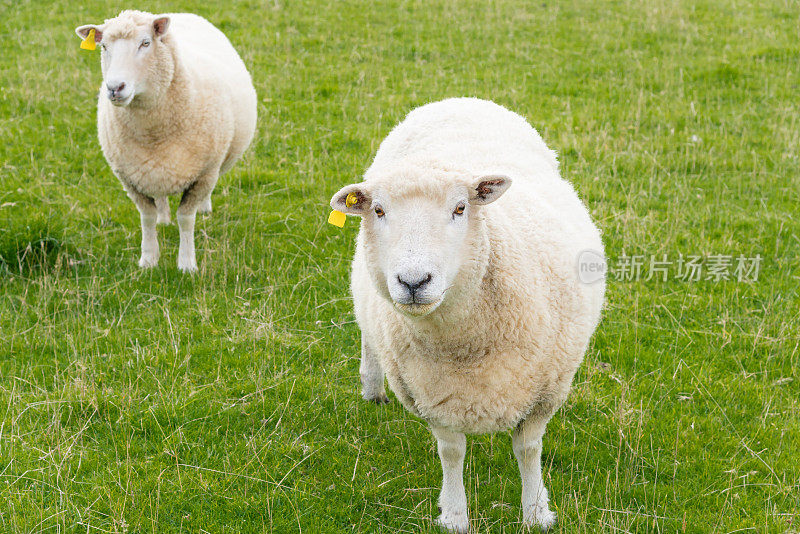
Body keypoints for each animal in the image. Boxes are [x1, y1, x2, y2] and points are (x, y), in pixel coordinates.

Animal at [75, 9, 256, 272]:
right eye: (104, 46)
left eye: (145, 43)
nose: (115, 87)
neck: (153, 135)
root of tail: (181, 12)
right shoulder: (130, 178)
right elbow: (146, 217)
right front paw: (149, 259)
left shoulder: (203, 174)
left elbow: (186, 219)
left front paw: (187, 264)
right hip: (152, 170)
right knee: (159, 196)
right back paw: (163, 217)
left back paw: (204, 208)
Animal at [332, 98, 608, 532]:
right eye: (377, 210)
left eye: (460, 208)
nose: (414, 281)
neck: (462, 343)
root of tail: (457, 100)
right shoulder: (432, 395)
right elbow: (452, 453)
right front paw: (455, 514)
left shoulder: (546, 390)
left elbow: (529, 449)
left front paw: (536, 511)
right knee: (366, 332)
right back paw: (372, 386)